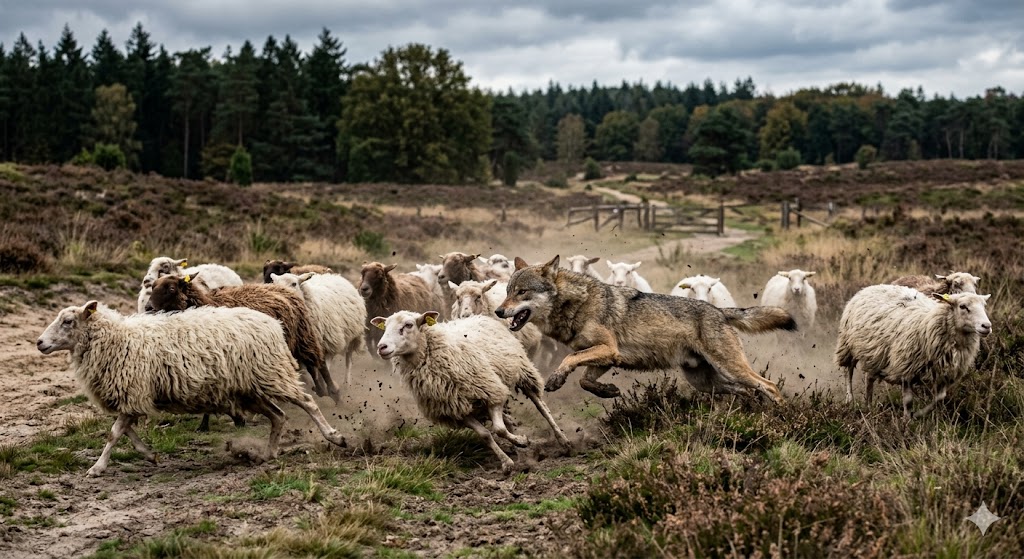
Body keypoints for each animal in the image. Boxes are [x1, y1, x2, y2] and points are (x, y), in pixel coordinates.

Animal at [495, 255, 796, 402]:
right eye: (507, 291)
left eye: (521, 292)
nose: (498, 311)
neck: (577, 303)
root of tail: (720, 311)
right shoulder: (607, 357)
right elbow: (585, 380)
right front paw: (608, 391)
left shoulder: (607, 349)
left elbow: (570, 360)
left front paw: (556, 379)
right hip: (706, 382)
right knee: (748, 391)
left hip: (730, 369)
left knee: (769, 386)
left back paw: (781, 420)